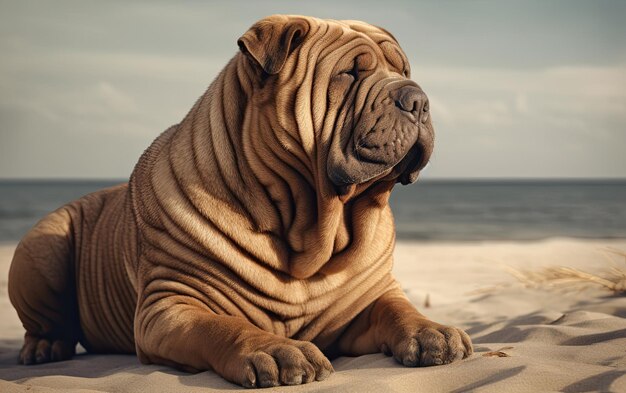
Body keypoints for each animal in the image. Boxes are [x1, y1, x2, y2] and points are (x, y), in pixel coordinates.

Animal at [8, 14, 468, 386]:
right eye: (349, 74)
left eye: (403, 69)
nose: (418, 99)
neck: (309, 227)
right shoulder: (171, 305)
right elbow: (222, 327)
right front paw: (277, 351)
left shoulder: (366, 302)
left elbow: (397, 309)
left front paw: (432, 331)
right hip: (42, 248)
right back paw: (44, 348)